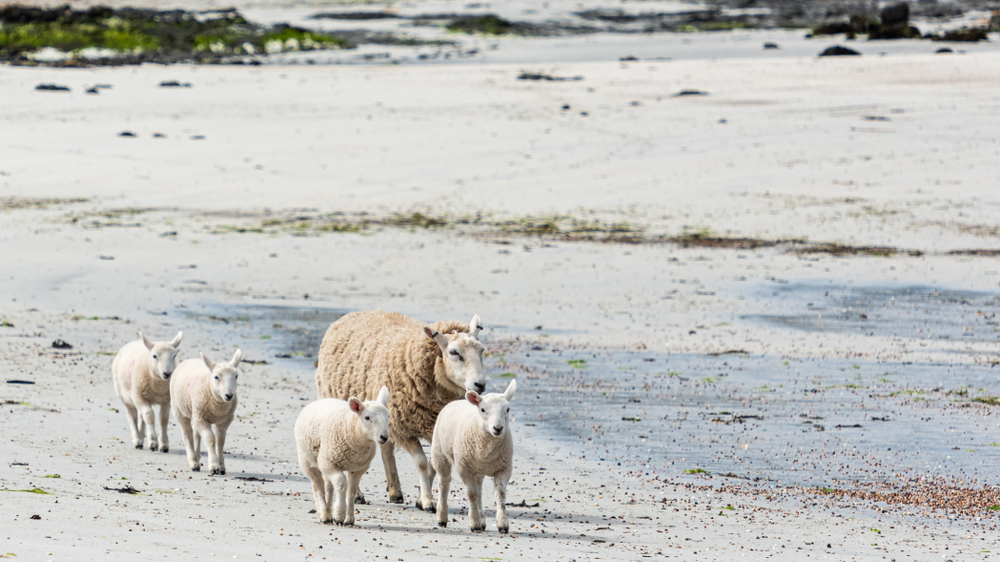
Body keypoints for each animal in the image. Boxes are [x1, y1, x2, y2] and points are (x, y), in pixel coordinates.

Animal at [294, 386, 391, 526]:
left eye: (388, 416)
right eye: (367, 417)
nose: (384, 437)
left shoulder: (358, 469)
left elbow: (351, 491)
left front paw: (349, 519)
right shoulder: (328, 462)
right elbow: (341, 484)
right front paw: (339, 516)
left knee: (328, 485)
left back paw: (328, 509)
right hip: (307, 459)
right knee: (317, 485)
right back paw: (324, 515)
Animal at [315, 310, 487, 511]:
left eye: (482, 350)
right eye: (453, 352)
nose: (480, 384)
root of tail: (355, 313)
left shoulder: (431, 428)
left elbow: (432, 465)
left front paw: (421, 499)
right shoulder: (404, 428)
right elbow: (421, 463)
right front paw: (427, 501)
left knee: (386, 450)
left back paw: (394, 491)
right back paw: (357, 494)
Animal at [432, 379, 517, 533]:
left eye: (507, 409)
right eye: (483, 410)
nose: (498, 428)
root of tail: (458, 400)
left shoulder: (504, 468)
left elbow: (500, 494)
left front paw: (502, 524)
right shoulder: (464, 468)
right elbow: (472, 494)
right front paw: (474, 523)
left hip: (478, 468)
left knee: (479, 490)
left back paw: (482, 520)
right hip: (439, 452)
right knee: (444, 483)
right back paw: (442, 517)